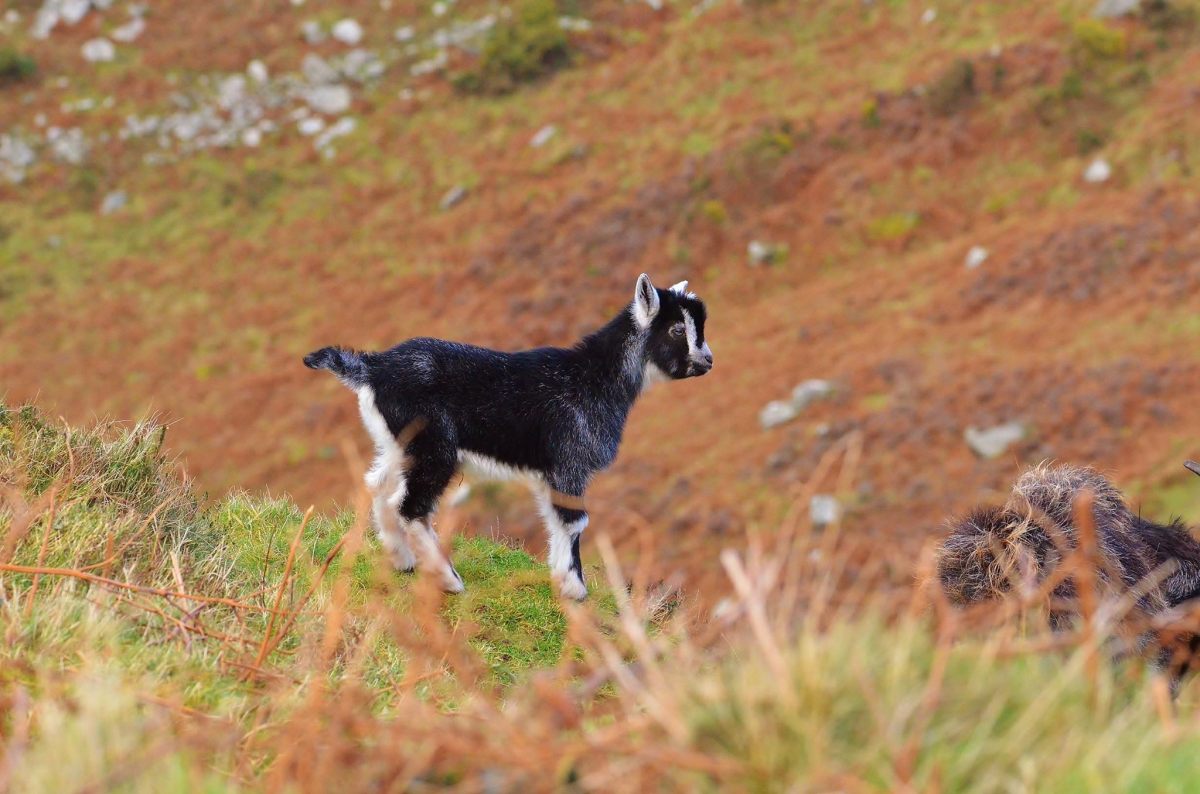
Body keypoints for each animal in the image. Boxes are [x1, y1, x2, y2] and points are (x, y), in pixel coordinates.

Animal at [304, 274, 713, 600]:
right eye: (678, 329)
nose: (707, 361)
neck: (593, 378)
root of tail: (373, 368)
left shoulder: (553, 470)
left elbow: (554, 518)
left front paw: (562, 580)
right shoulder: (570, 460)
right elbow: (574, 520)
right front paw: (575, 589)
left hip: (399, 444)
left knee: (378, 486)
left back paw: (401, 559)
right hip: (434, 447)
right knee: (410, 505)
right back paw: (448, 579)